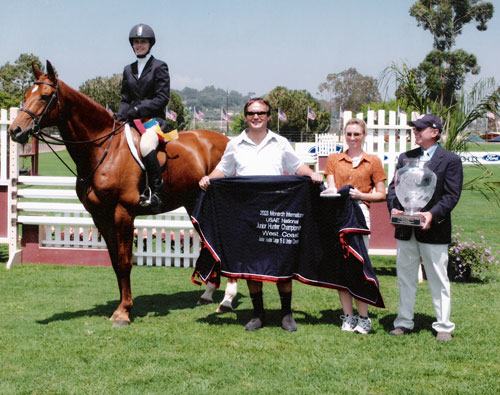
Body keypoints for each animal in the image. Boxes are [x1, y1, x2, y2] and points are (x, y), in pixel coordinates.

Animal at [9, 62, 229, 326]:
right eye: (25, 95)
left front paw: (123, 312)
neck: (103, 148)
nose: (15, 130)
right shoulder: (100, 216)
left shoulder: (123, 213)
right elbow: (115, 261)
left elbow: (124, 261)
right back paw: (208, 293)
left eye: (44, 96)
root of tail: (225, 139)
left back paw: (226, 299)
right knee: (209, 243)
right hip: (192, 203)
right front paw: (122, 305)